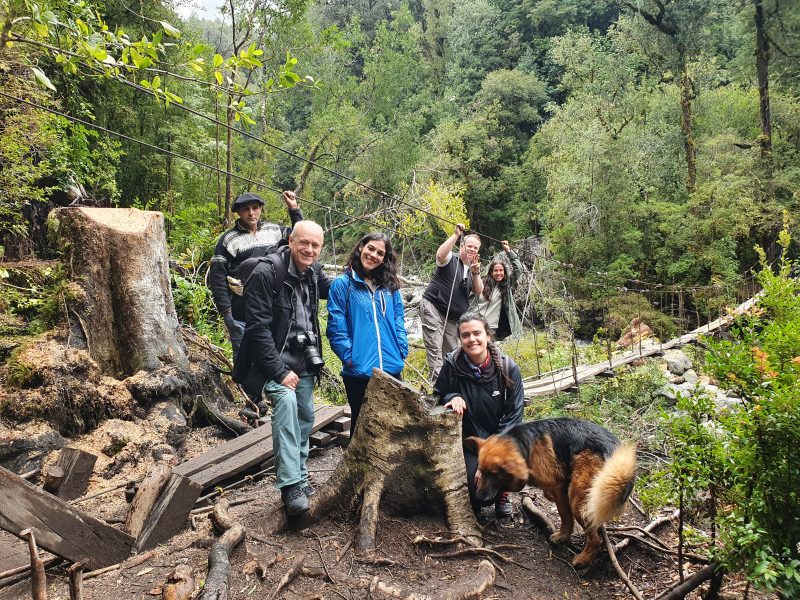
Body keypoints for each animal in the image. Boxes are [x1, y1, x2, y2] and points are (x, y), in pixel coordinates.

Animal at [466, 418, 636, 568]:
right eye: (481, 470)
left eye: (493, 474)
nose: (478, 496)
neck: (523, 446)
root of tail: (617, 457)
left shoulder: (558, 488)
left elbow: (565, 515)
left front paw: (563, 536)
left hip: (577, 497)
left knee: (594, 539)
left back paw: (583, 559)